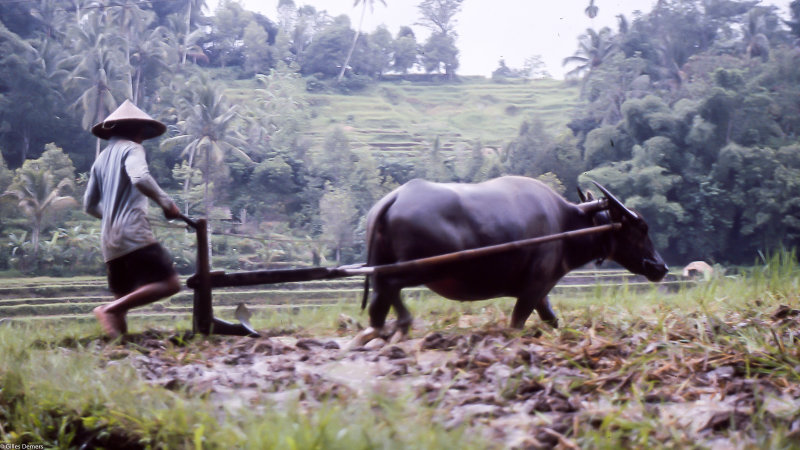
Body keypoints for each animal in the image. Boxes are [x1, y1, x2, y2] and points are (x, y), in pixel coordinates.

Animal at [360, 176, 664, 338]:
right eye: (641, 228)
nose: (660, 266)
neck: (564, 224)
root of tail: (395, 198)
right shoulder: (534, 287)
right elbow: (517, 322)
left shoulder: (540, 291)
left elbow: (552, 319)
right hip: (424, 268)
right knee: (390, 286)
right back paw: (402, 323)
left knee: (378, 300)